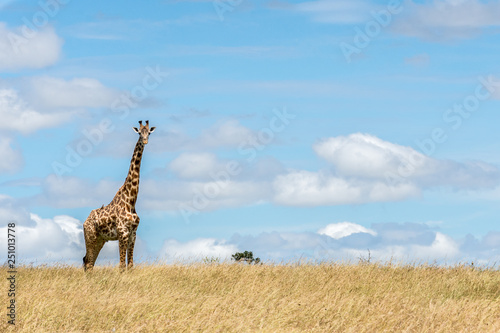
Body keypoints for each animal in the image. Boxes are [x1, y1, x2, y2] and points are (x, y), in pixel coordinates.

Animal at [82, 119, 154, 270]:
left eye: (149, 132)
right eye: (139, 133)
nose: (145, 141)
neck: (131, 200)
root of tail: (85, 222)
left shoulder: (133, 233)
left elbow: (130, 265)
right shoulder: (122, 233)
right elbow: (121, 266)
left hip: (100, 239)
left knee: (88, 262)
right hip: (90, 236)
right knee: (88, 263)